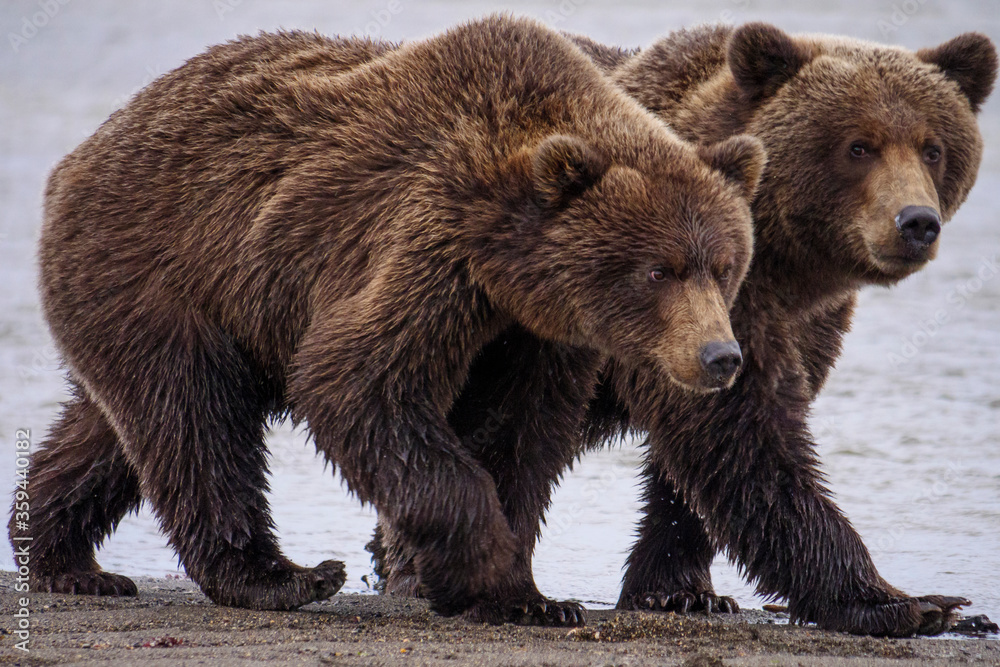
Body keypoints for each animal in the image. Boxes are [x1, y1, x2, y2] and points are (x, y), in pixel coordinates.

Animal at [8, 15, 767, 626]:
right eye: (658, 270)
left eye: (725, 264)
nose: (720, 355)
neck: (507, 259)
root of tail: (85, 150)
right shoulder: (424, 240)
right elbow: (357, 382)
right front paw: (492, 573)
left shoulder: (539, 333)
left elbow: (521, 435)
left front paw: (528, 595)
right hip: (164, 268)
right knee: (196, 421)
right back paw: (287, 576)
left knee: (114, 430)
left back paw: (61, 555)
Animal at [370, 23, 997, 636]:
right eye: (859, 146)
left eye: (934, 148)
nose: (916, 222)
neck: (783, 262)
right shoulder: (692, 306)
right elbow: (746, 440)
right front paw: (906, 601)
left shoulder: (792, 319)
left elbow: (706, 456)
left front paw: (682, 591)